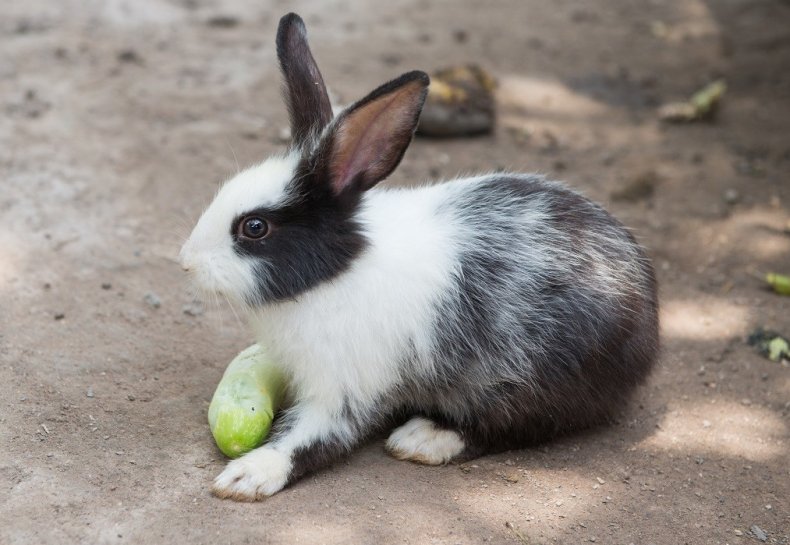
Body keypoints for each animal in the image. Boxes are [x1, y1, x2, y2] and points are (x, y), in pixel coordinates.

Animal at [181, 11, 664, 502]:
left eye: (254, 228)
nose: (186, 262)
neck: (338, 274)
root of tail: (648, 312)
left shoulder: (343, 386)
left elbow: (311, 438)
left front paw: (247, 476)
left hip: (537, 382)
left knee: (514, 426)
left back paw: (424, 437)